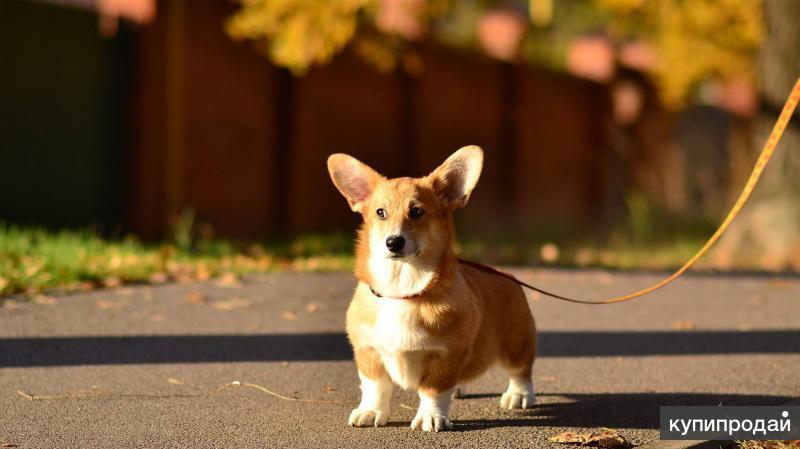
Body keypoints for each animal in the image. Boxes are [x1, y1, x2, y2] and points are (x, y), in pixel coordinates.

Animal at [324, 146, 536, 430]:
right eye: (380, 212)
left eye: (416, 211)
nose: (393, 242)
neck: (402, 291)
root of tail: (503, 272)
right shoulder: (368, 351)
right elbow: (375, 386)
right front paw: (370, 411)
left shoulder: (446, 357)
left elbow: (433, 390)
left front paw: (431, 417)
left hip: (516, 342)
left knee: (521, 370)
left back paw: (519, 394)